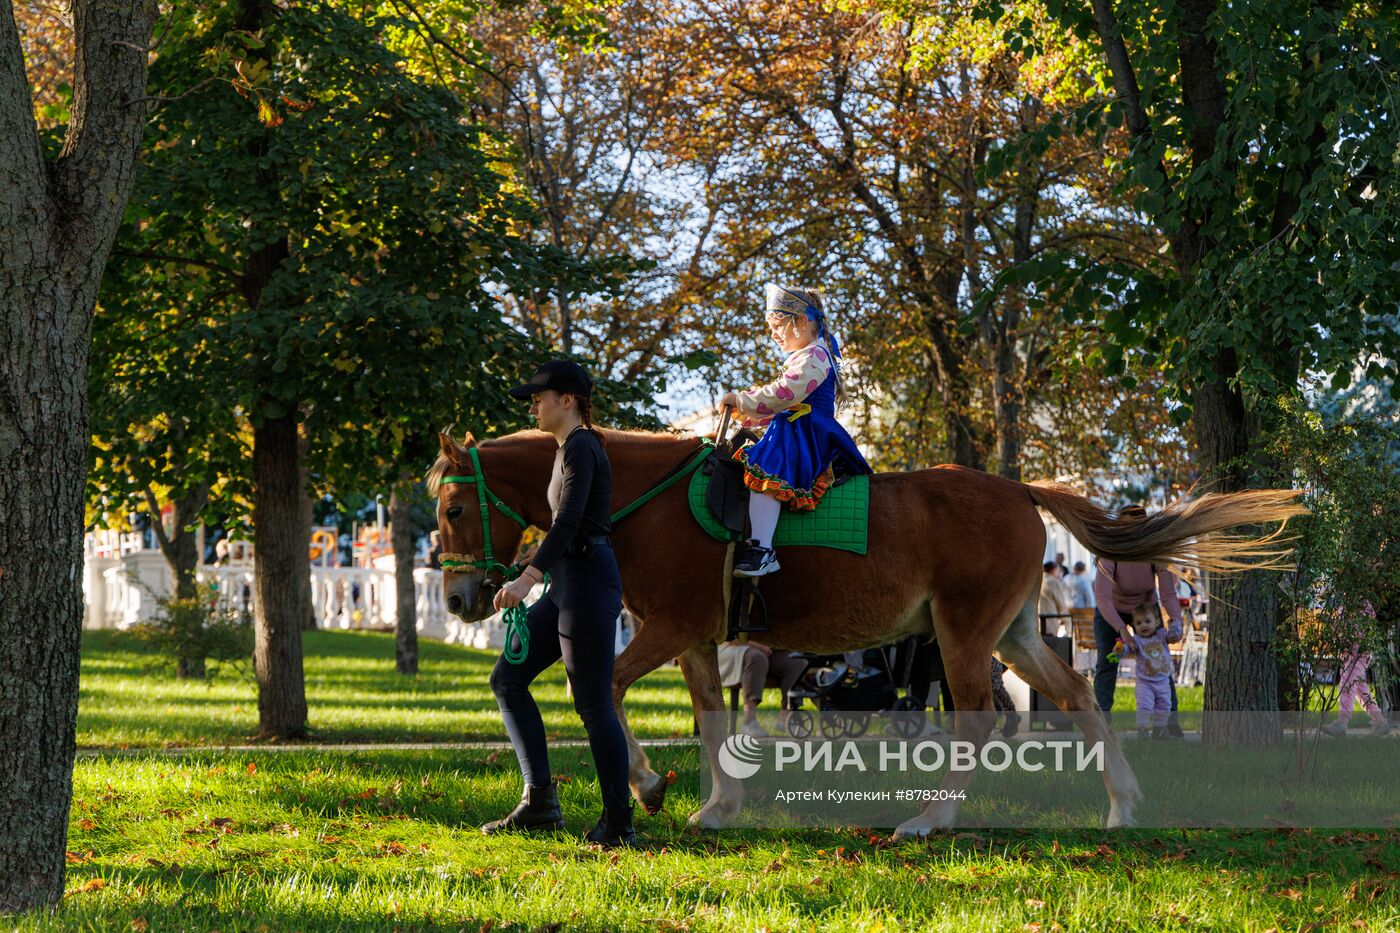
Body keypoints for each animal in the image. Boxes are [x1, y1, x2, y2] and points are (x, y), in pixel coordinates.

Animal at [431, 425, 1304, 829]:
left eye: (453, 506)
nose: (463, 597)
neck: (643, 495)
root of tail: (1018, 489)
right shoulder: (697, 640)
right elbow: (710, 716)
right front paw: (717, 804)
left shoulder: (670, 628)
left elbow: (606, 686)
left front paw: (647, 784)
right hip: (1015, 633)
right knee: (1077, 698)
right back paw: (1121, 805)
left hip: (962, 636)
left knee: (978, 716)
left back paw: (930, 818)